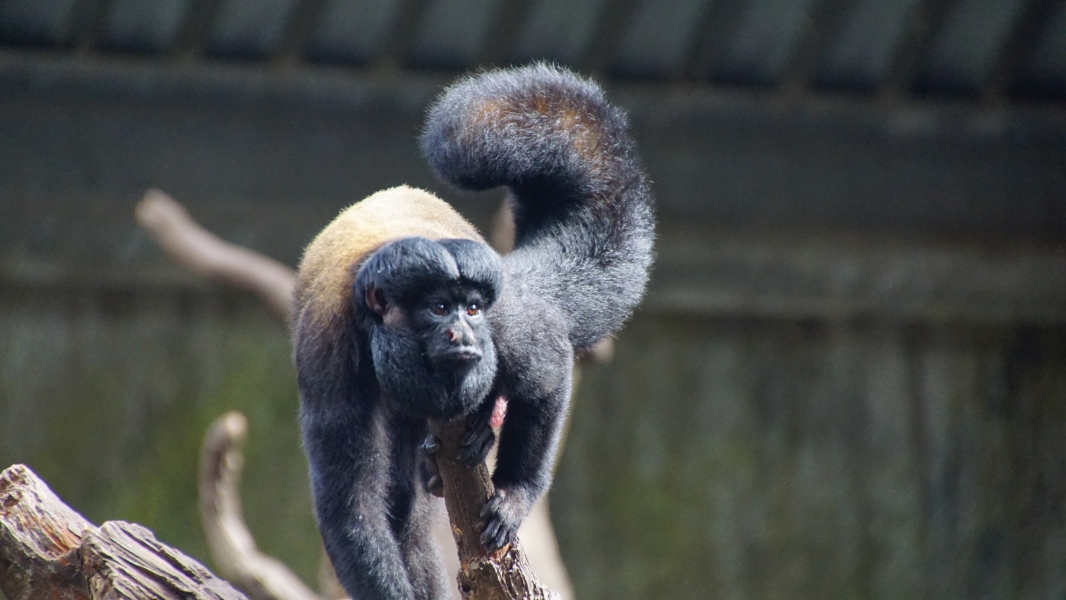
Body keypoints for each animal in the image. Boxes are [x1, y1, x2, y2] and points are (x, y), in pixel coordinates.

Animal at [293, 63, 654, 600]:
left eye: (473, 308)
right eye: (440, 308)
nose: (464, 333)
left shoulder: (504, 318)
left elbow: (548, 375)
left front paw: (513, 495)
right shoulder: (328, 352)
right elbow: (352, 506)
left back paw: (479, 432)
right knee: (401, 501)